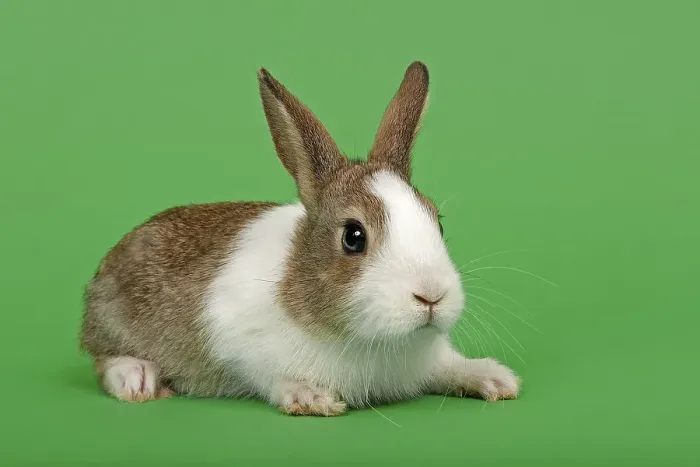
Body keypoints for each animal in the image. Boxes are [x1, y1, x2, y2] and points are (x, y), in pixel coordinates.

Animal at [79, 61, 521, 416]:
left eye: (438, 223)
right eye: (353, 237)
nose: (432, 296)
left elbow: (450, 365)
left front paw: (496, 379)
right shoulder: (239, 345)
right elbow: (268, 376)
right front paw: (311, 397)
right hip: (112, 322)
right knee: (103, 359)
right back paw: (136, 378)